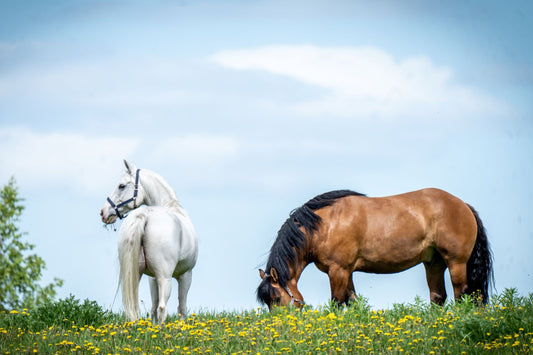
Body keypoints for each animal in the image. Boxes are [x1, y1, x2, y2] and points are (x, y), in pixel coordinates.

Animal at [100, 160, 197, 324]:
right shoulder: (186, 275)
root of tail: (145, 215)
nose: (103, 213)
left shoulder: (152, 278)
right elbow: (181, 308)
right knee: (163, 308)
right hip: (165, 278)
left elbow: (153, 308)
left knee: (137, 308)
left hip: (135, 274)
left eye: (121, 185)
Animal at [256, 189, 492, 308]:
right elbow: (352, 302)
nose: (280, 329)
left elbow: (337, 303)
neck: (322, 225)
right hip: (433, 264)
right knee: (438, 298)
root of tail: (463, 205)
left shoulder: (338, 270)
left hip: (456, 263)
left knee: (463, 294)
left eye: (276, 299)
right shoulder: (346, 272)